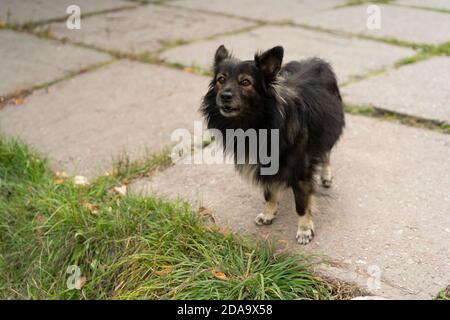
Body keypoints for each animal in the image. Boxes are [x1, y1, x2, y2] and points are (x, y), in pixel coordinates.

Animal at [200, 45, 344, 245]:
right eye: (221, 79)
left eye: (245, 82)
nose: (224, 96)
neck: (257, 122)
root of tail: (317, 61)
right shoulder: (264, 164)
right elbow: (268, 191)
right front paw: (268, 213)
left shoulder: (300, 169)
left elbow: (302, 202)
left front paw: (304, 229)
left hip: (329, 129)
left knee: (326, 153)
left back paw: (326, 174)